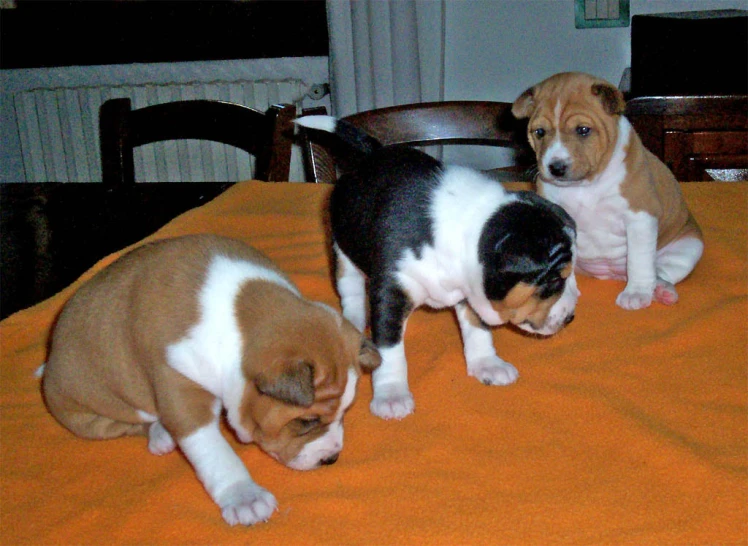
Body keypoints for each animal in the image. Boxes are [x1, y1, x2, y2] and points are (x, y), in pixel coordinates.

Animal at [41, 233, 380, 524]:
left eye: (345, 412)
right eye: (307, 421)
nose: (331, 459)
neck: (240, 320)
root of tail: (49, 361)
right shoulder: (181, 391)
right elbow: (214, 451)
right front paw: (244, 496)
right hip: (86, 416)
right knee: (128, 423)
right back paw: (161, 434)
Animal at [512, 70, 704, 308]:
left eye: (583, 130)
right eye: (540, 132)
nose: (556, 167)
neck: (585, 185)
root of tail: (612, 274)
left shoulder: (640, 217)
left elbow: (639, 261)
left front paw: (636, 293)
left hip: (686, 248)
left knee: (661, 271)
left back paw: (661, 290)